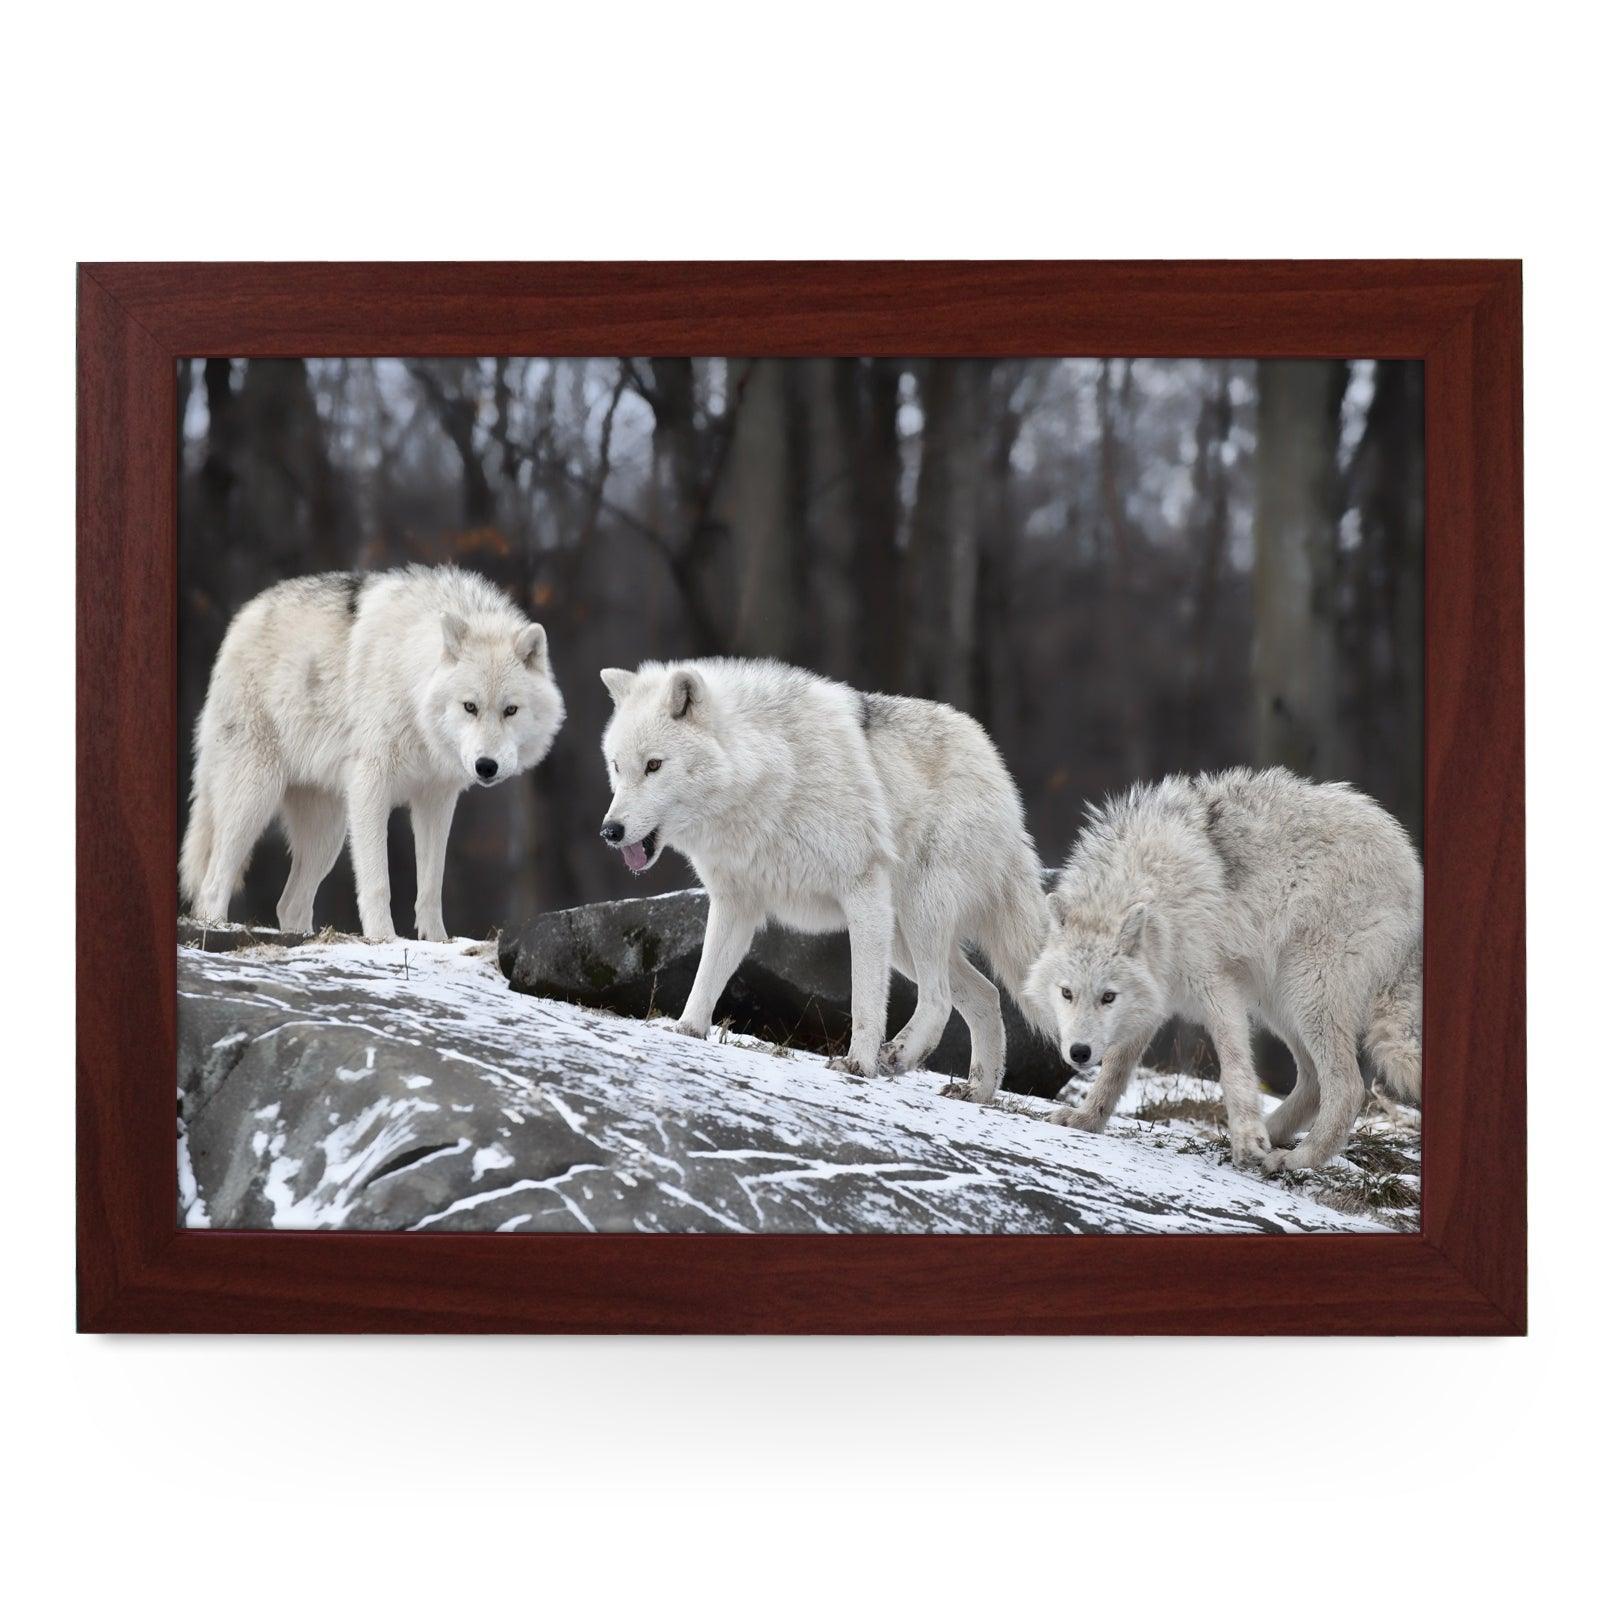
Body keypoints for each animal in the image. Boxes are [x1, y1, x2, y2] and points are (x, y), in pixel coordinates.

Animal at [180, 565, 565, 941]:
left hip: (328, 833)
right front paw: (383, 939)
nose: (486, 766)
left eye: (510, 710)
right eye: (470, 707)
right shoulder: (370, 787)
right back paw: (217, 928)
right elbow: (378, 882)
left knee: (289, 904)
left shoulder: (436, 799)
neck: (411, 684)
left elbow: (431, 886)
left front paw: (437, 941)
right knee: (213, 884)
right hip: (255, 799)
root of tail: (242, 617)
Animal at [596, 658, 1051, 1096]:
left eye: (654, 765)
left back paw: (899, 1057)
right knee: (986, 994)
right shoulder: (735, 903)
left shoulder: (862, 890)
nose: (610, 830)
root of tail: (995, 765)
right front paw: (687, 1030)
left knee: (939, 998)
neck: (769, 775)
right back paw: (977, 1091)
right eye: (617, 767)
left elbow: (865, 998)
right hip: (901, 936)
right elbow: (707, 975)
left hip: (916, 915)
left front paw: (858, 1064)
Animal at [1024, 768, 1421, 1172]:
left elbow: (1234, 1070)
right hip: (1279, 1002)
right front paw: (1086, 1119)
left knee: (1347, 1087)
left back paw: (1297, 1158)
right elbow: (1115, 1070)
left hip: (1306, 993)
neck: (1153, 886)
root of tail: (1409, 864)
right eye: (1067, 993)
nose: (1079, 1053)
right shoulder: (1153, 998)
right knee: (1313, 1083)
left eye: (1107, 997)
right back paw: (1268, 1135)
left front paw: (1247, 1138)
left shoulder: (1218, 988)